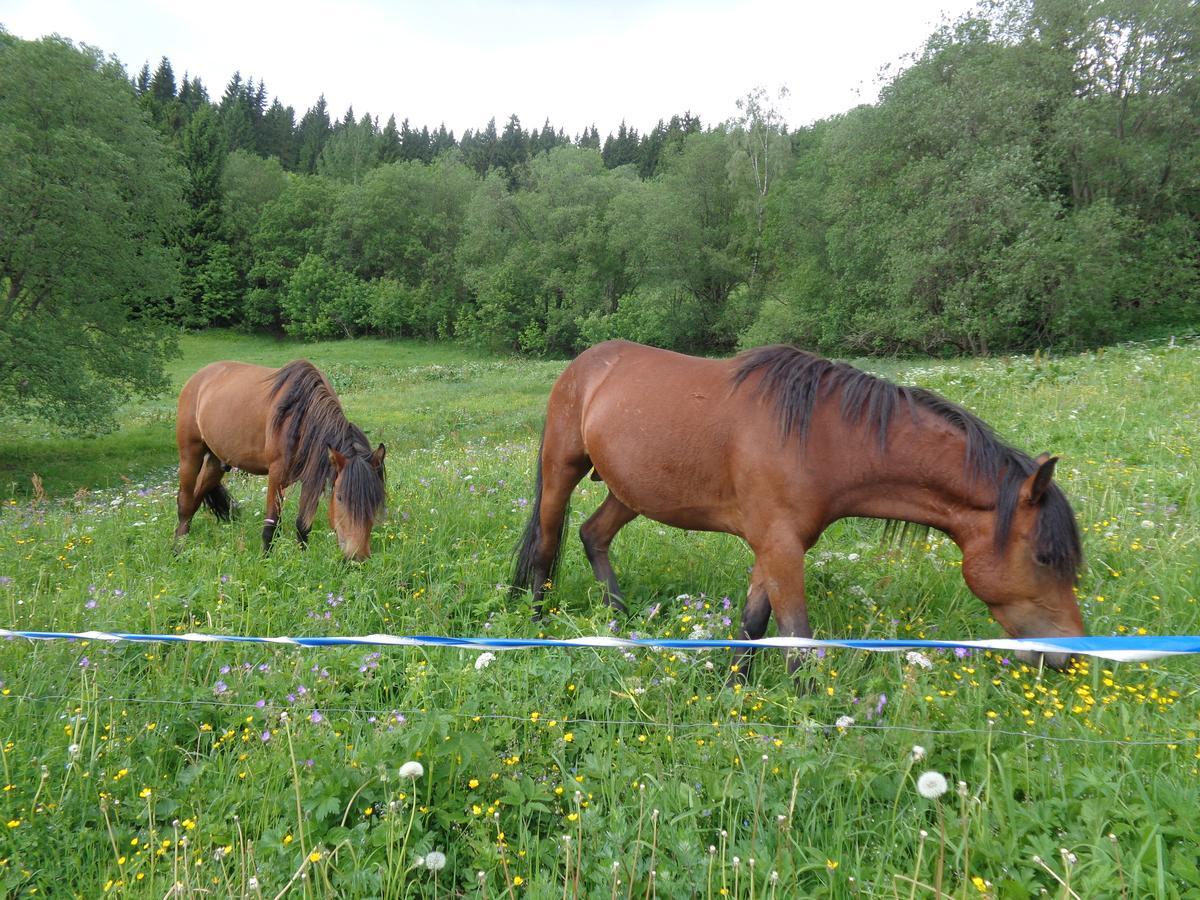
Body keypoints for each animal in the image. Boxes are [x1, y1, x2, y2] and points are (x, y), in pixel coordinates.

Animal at [175, 362, 384, 561]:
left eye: (376, 500)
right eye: (340, 497)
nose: (358, 557)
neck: (302, 416)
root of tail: (197, 378)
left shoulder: (311, 478)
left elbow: (303, 525)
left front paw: (302, 559)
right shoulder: (276, 474)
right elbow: (271, 525)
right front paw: (265, 561)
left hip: (215, 463)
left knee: (195, 500)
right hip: (190, 456)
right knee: (185, 504)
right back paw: (177, 551)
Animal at [511, 340, 1084, 672]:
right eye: (1044, 558)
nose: (1073, 653)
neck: (821, 437)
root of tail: (584, 364)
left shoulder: (776, 546)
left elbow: (753, 626)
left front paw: (735, 686)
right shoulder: (781, 548)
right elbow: (796, 639)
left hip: (630, 490)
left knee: (593, 535)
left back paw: (619, 621)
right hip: (561, 469)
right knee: (546, 544)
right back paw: (537, 626)